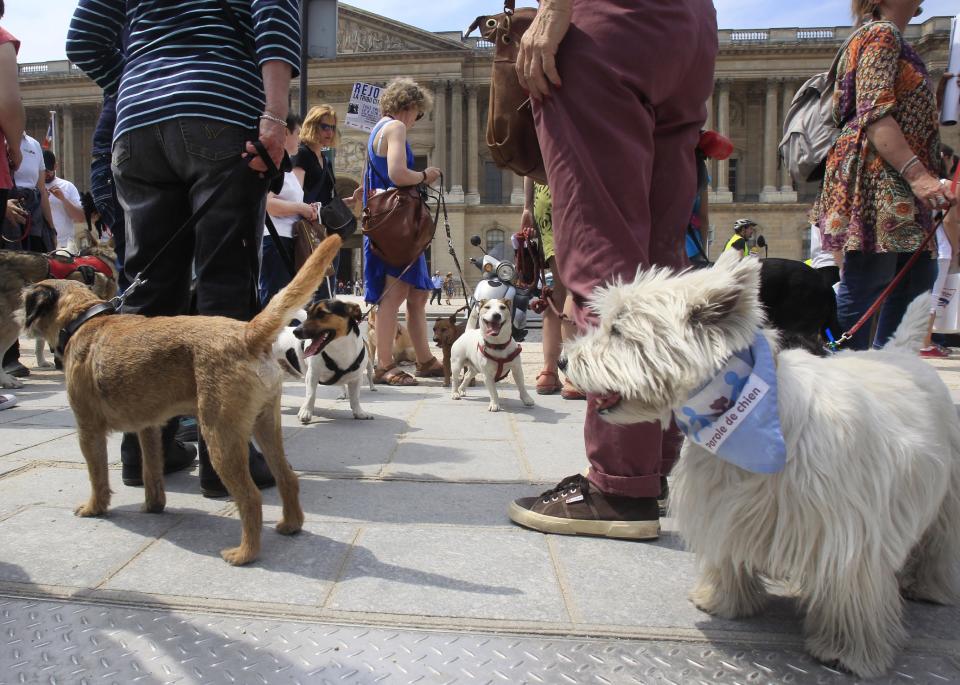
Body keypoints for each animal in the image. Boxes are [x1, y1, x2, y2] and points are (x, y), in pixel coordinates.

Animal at [20, 235, 344, 568]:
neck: (82, 319)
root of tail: (247, 333)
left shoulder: (88, 430)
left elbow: (97, 474)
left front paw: (94, 507)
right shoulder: (148, 428)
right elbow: (151, 470)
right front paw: (153, 505)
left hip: (219, 435)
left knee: (250, 498)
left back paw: (244, 553)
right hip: (266, 425)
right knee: (287, 478)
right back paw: (290, 525)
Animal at [564, 248, 960, 676]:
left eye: (619, 330)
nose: (565, 361)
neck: (740, 406)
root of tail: (899, 354)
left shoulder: (849, 529)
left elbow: (851, 589)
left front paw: (848, 649)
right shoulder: (723, 504)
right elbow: (727, 554)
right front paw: (722, 600)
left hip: (945, 492)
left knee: (938, 543)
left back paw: (925, 585)